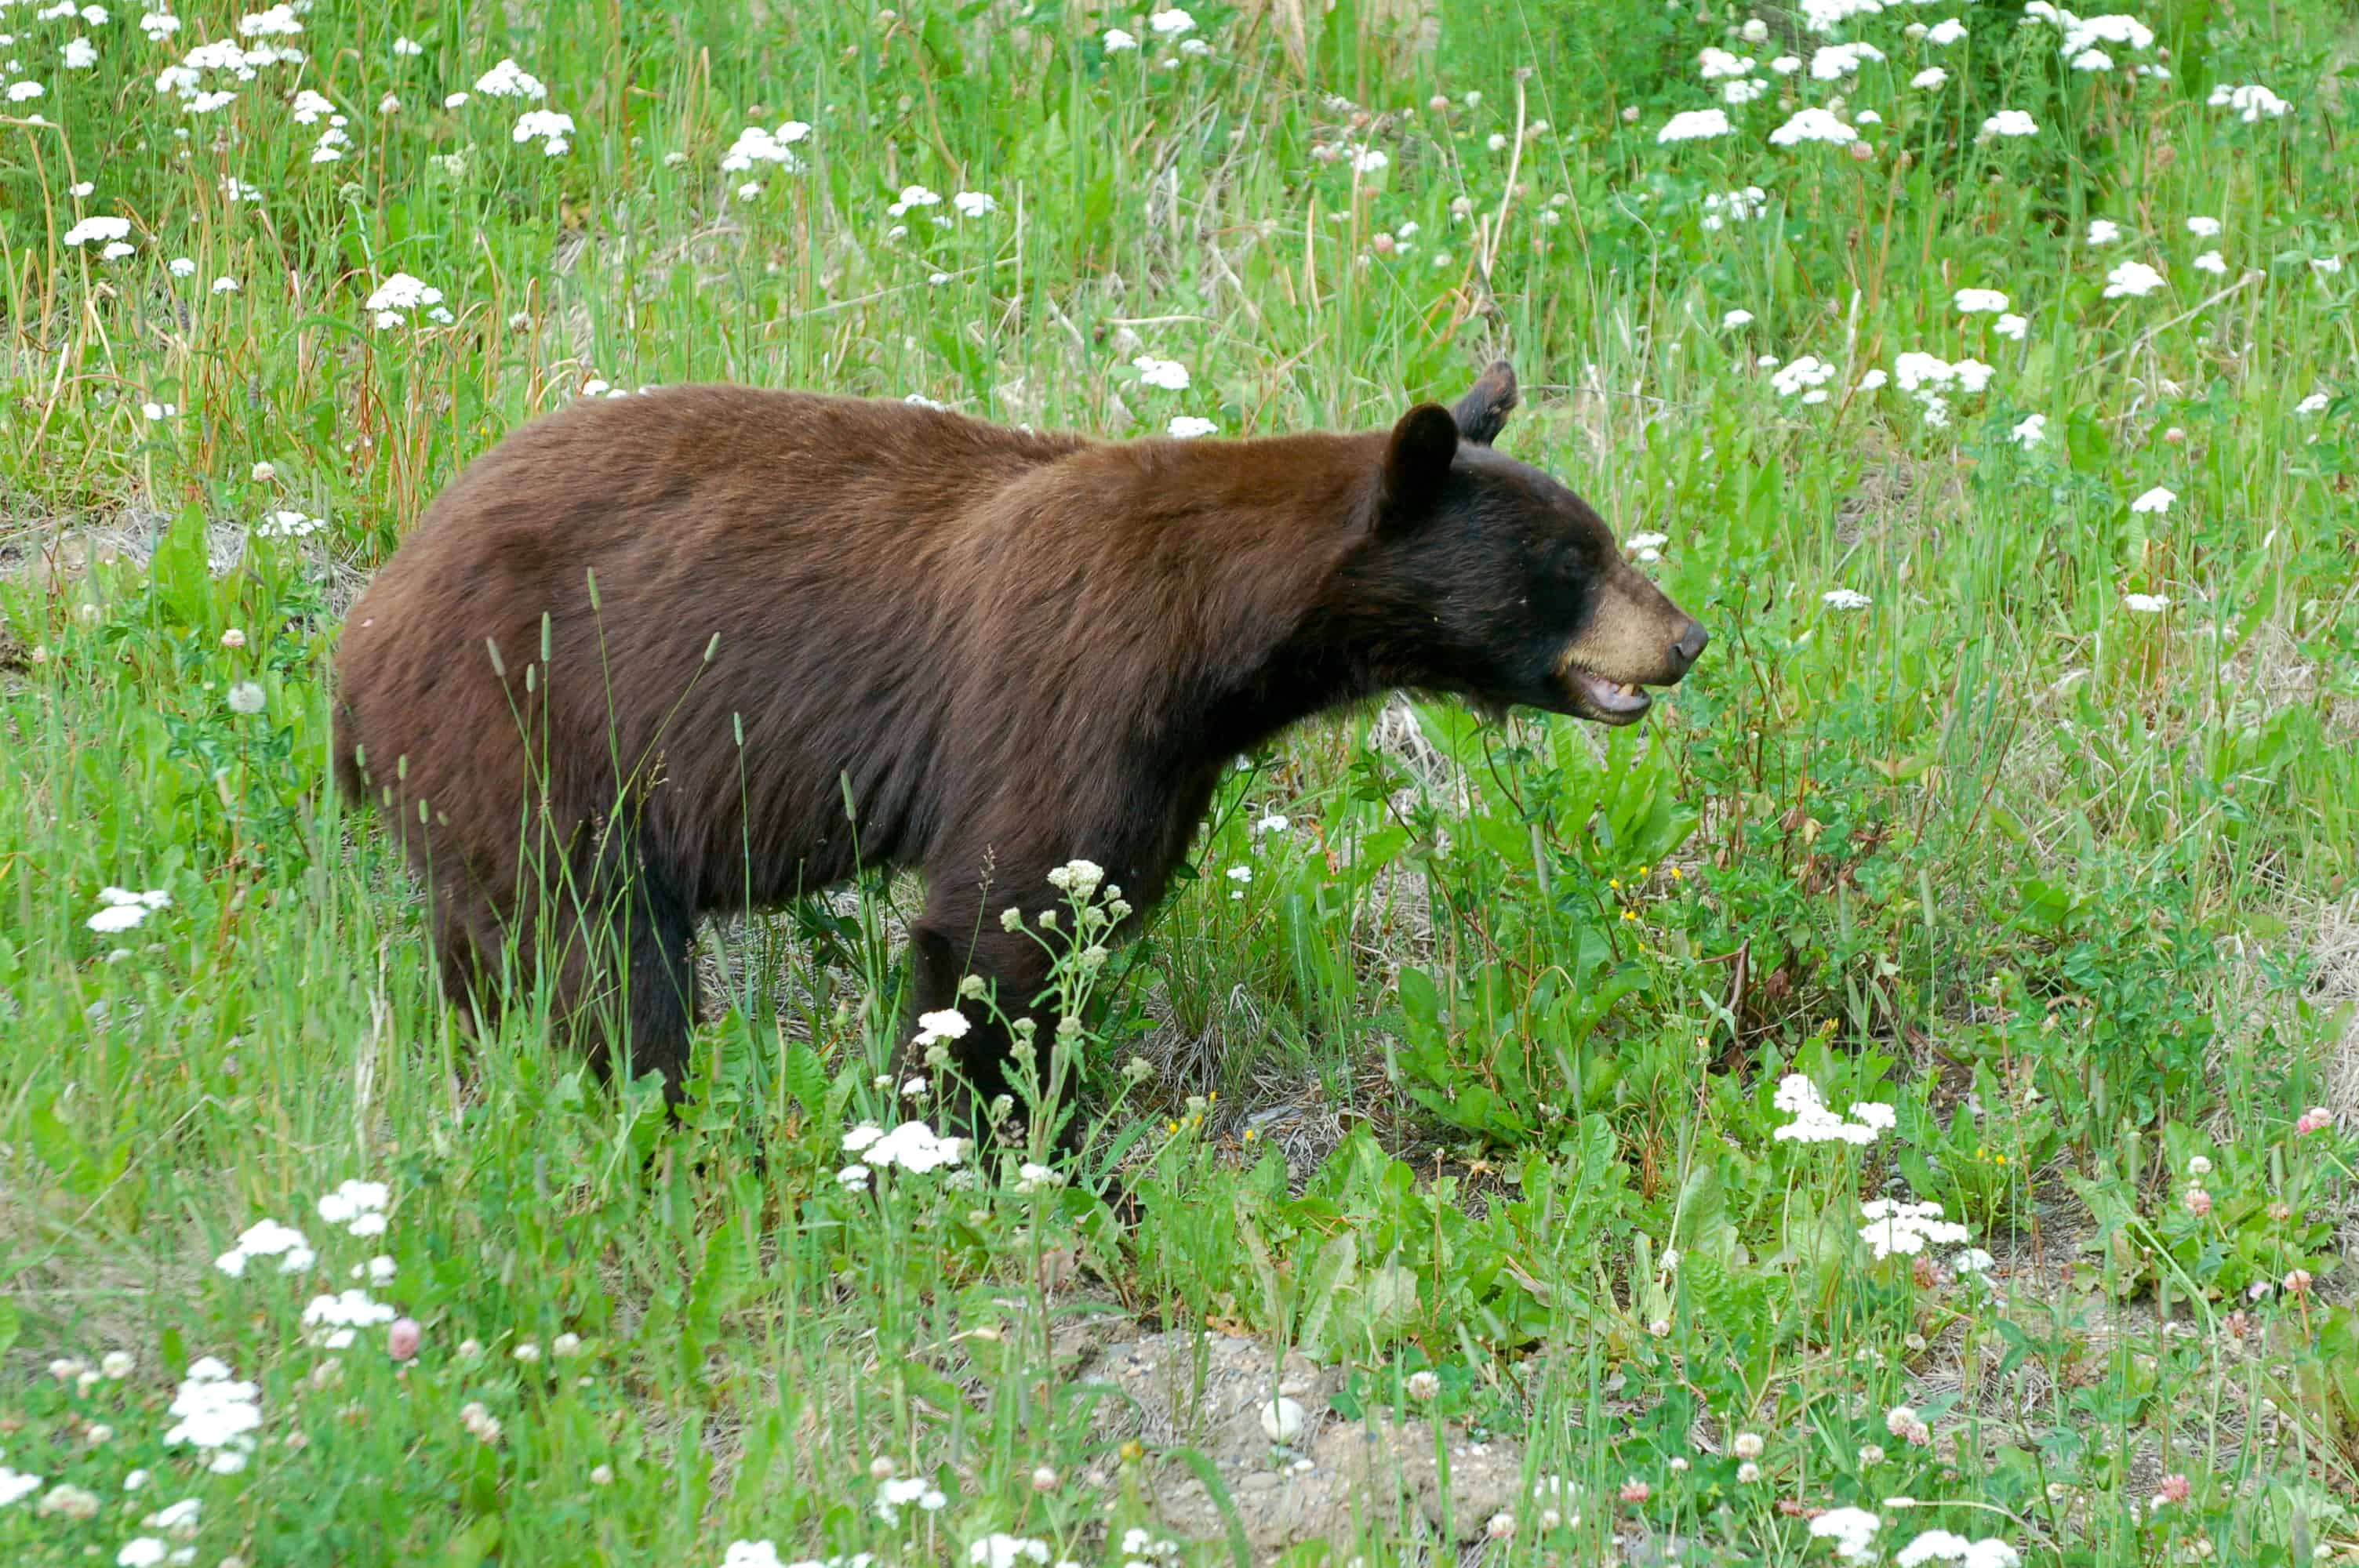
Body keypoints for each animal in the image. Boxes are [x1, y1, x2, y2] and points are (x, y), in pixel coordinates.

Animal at [332, 360, 1707, 1142]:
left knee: (492, 955)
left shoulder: (1169, 751)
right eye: (1573, 562)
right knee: (600, 953)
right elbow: (1000, 920)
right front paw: (997, 1145)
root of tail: (364, 630)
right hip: (532, 726)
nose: (1686, 637)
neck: (1221, 626)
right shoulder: (1074, 682)